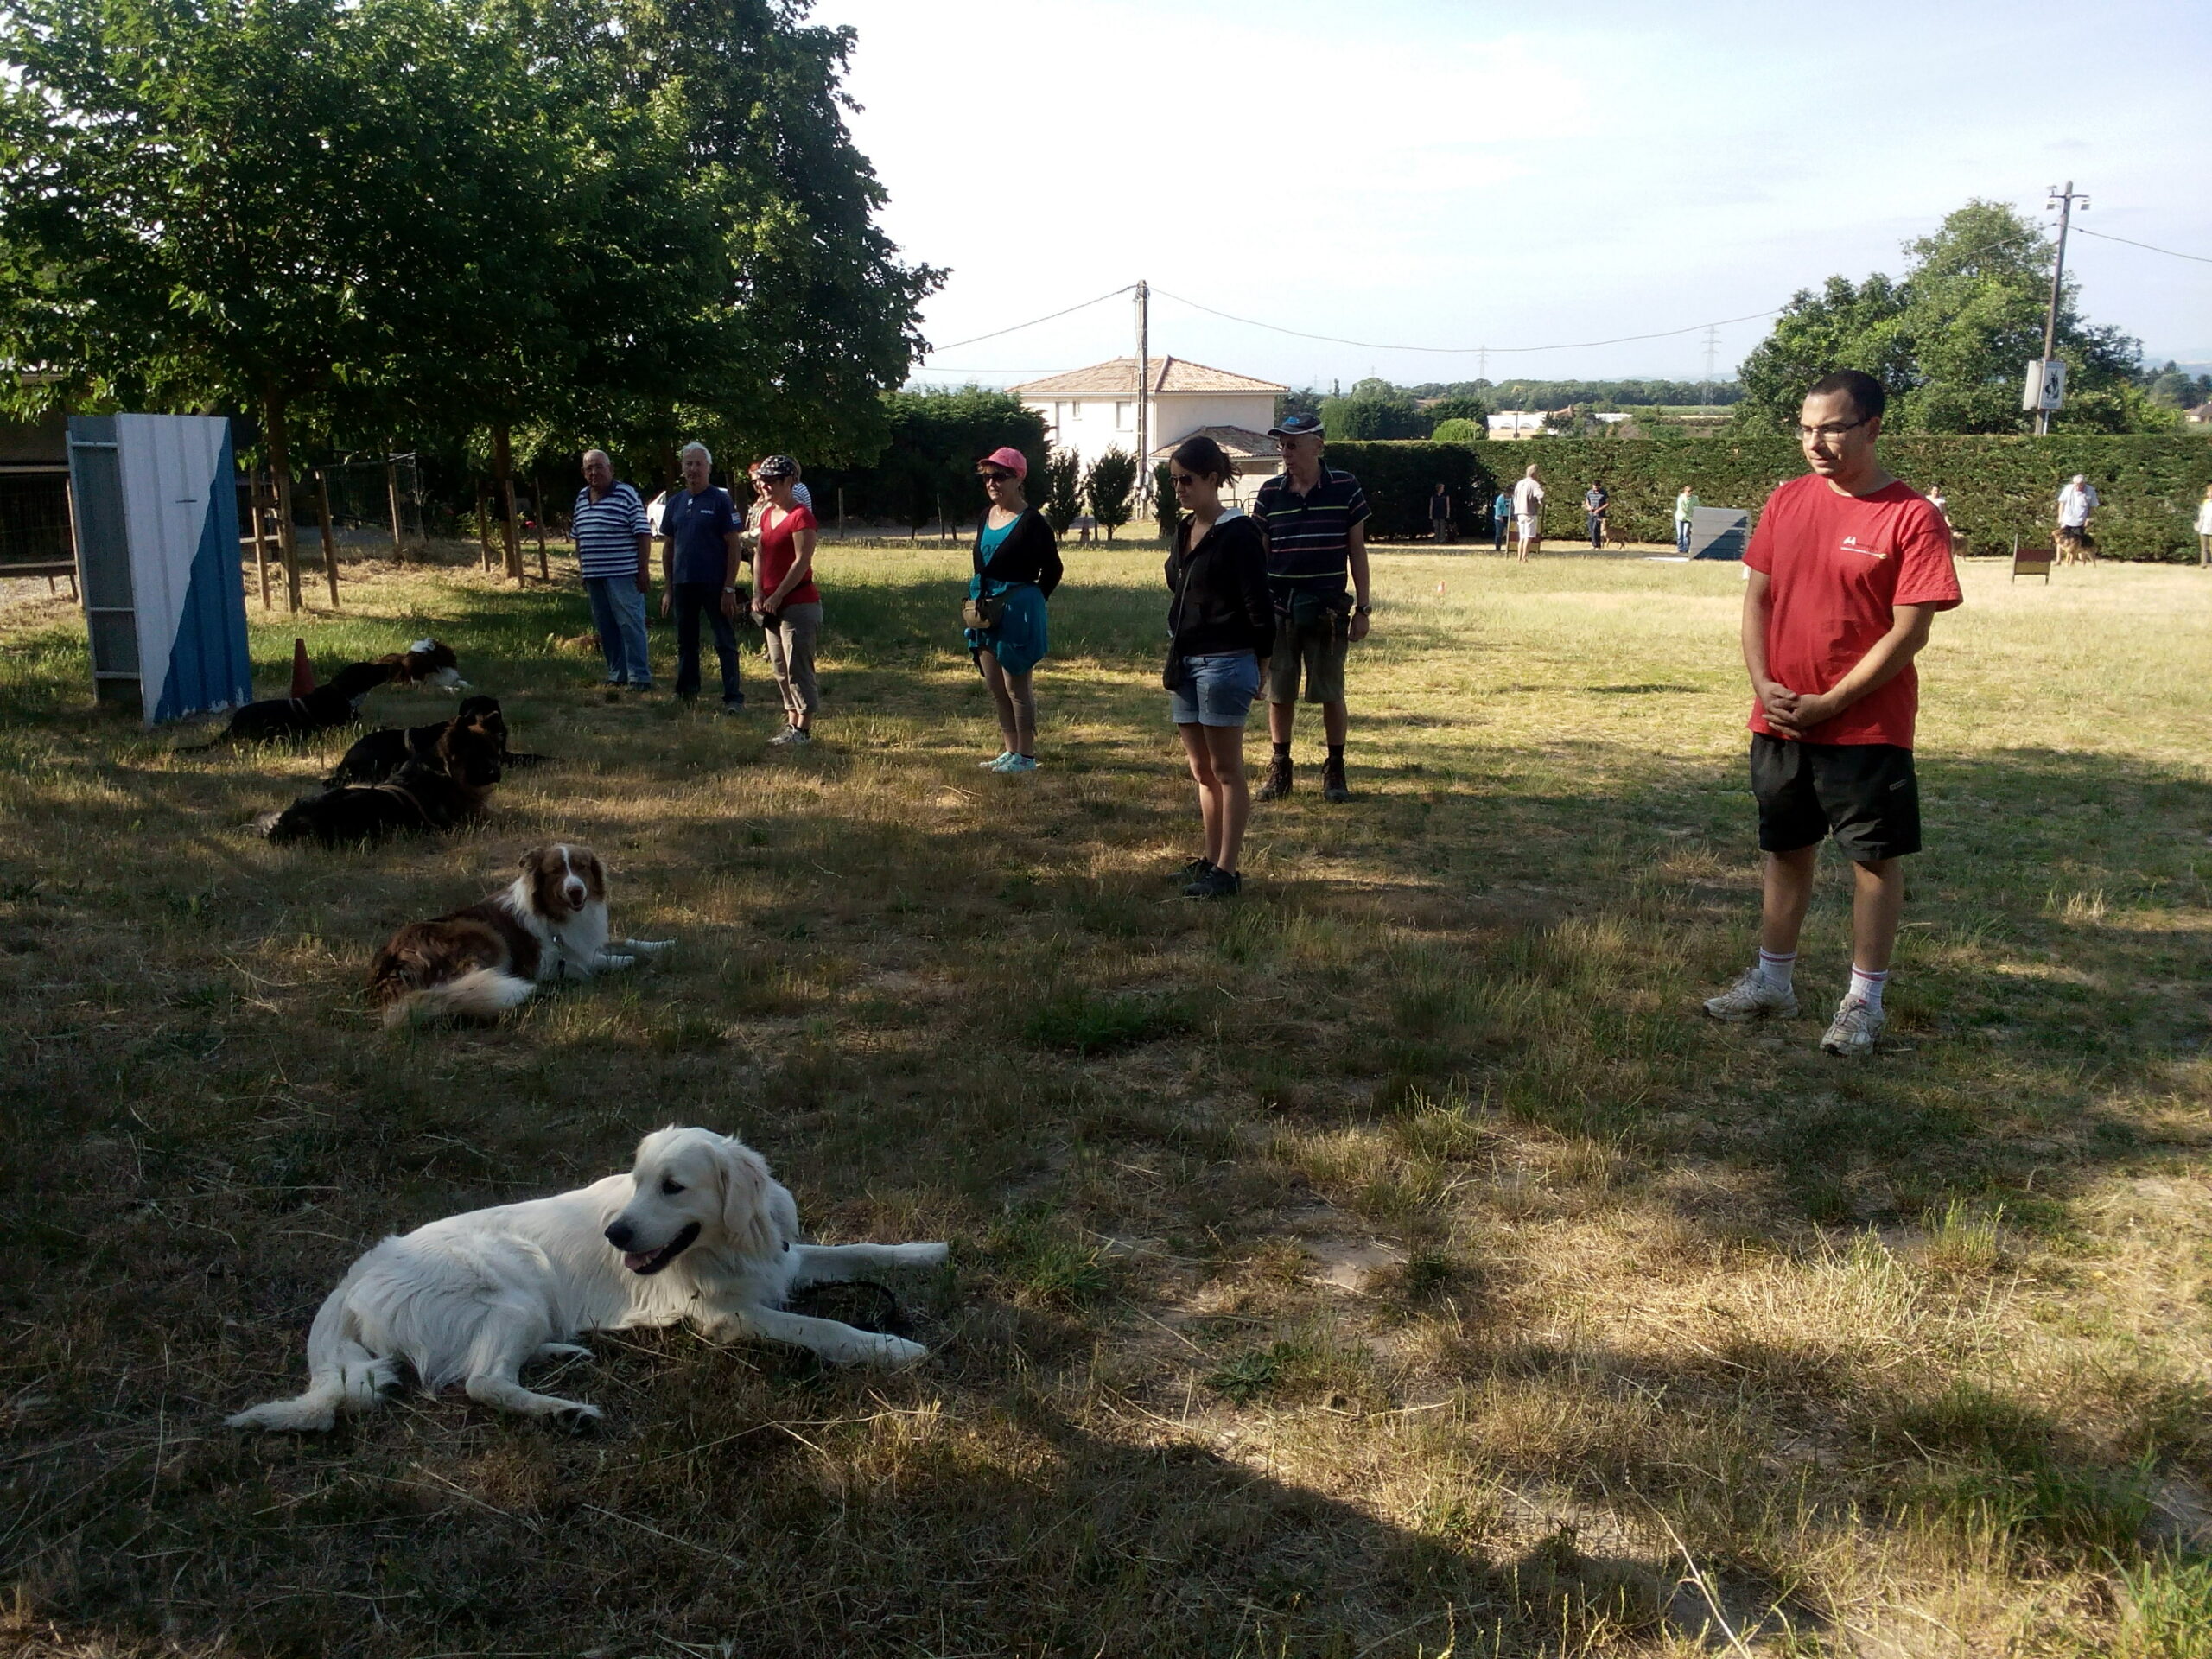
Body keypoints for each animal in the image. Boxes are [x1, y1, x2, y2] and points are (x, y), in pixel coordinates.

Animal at [226, 1132, 942, 1442]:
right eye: (636, 1181)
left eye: (671, 1187)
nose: (616, 1233)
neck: (729, 1242)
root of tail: (354, 1276)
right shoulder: (729, 1317)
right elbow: (822, 1326)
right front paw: (888, 1347)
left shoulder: (783, 1261)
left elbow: (860, 1249)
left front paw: (928, 1251)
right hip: (514, 1286)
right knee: (481, 1381)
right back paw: (563, 1412)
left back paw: (564, 1357)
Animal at [258, 716, 506, 849]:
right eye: (478, 758)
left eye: (495, 754)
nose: (497, 772)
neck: (441, 768)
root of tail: (288, 822)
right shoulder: (464, 818)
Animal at [329, 694, 550, 787]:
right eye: (466, 708)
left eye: (482, 706)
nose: (466, 717)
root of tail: (345, 762)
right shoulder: (500, 757)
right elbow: (525, 757)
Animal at [372, 844, 668, 1026]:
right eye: (556, 871)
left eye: (582, 867)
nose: (576, 891)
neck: (555, 915)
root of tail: (388, 971)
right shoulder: (547, 964)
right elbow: (595, 962)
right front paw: (626, 961)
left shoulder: (585, 941)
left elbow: (627, 940)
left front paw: (665, 945)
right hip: (484, 935)